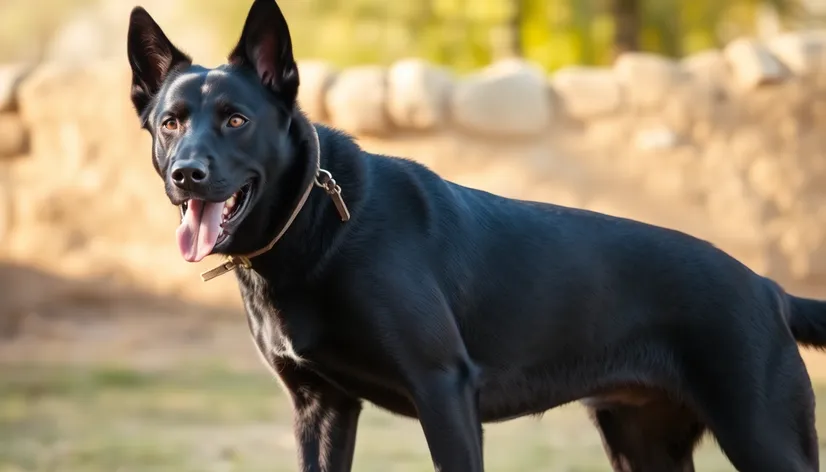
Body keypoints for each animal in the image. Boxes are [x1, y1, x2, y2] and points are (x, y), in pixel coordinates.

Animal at [125, 1, 824, 470]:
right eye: (170, 123)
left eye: (236, 120)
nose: (187, 174)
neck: (316, 224)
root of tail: (768, 289)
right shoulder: (320, 408)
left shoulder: (444, 389)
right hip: (643, 443)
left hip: (764, 437)